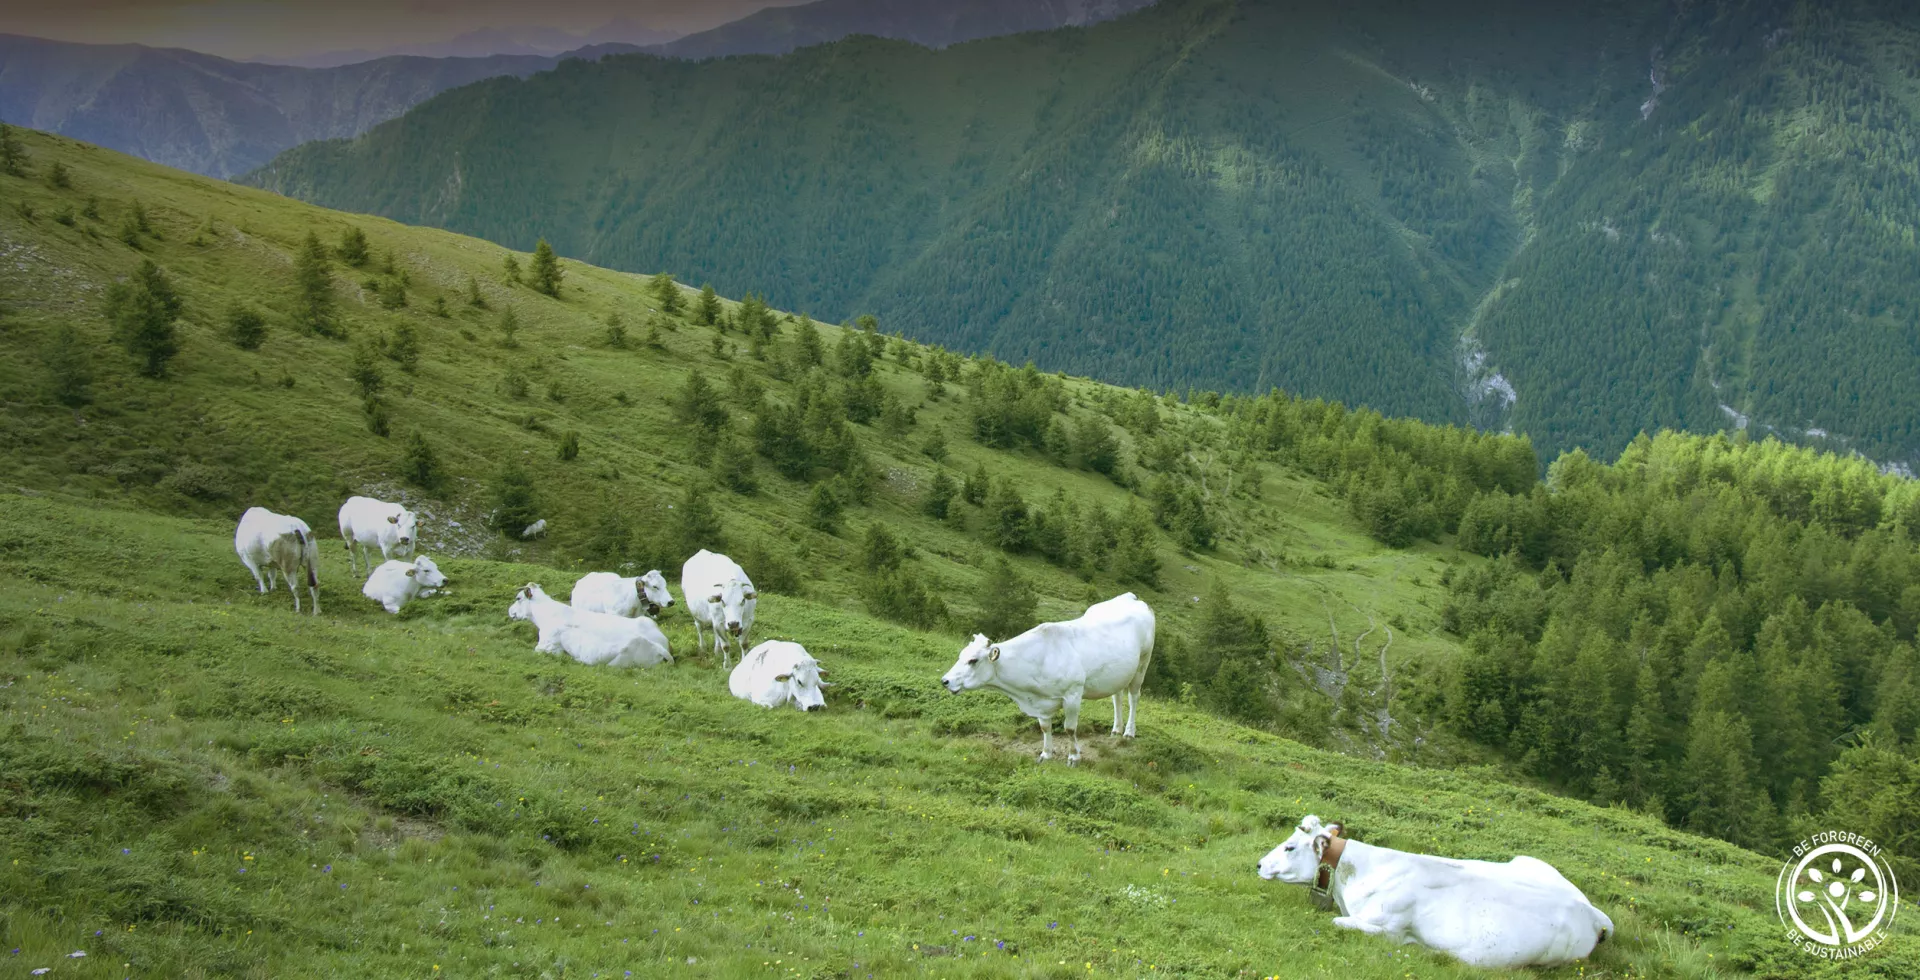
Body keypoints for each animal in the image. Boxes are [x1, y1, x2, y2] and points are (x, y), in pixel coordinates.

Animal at [936, 588, 1144, 764]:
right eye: (961, 655)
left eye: (973, 660)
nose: (945, 681)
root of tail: (1128, 597)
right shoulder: (1040, 702)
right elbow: (1045, 727)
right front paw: (1045, 754)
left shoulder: (1073, 694)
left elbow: (1070, 728)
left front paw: (1074, 757)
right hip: (1118, 673)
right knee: (1117, 697)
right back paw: (1116, 729)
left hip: (1143, 663)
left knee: (1133, 697)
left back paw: (1129, 732)